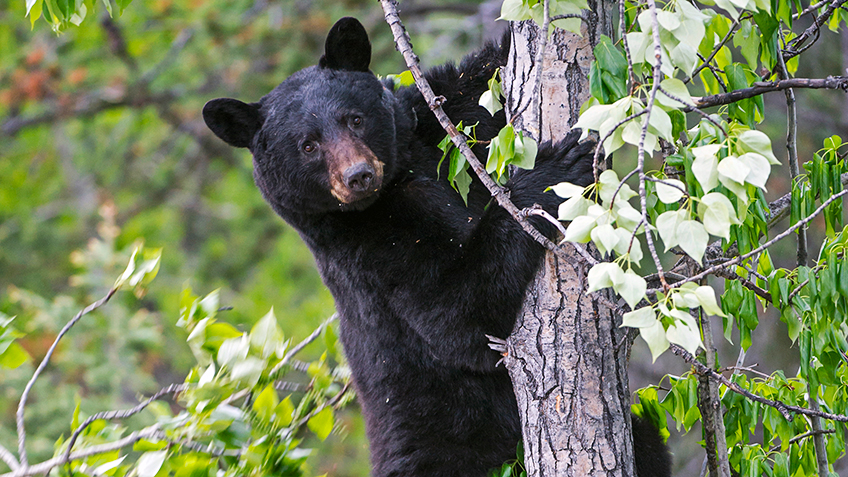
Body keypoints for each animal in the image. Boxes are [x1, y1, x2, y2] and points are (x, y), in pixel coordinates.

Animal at [204, 16, 668, 474]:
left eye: (354, 119)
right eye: (308, 145)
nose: (358, 175)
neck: (396, 185)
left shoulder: (430, 125)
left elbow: (478, 86)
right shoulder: (369, 249)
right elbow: (455, 315)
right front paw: (548, 173)